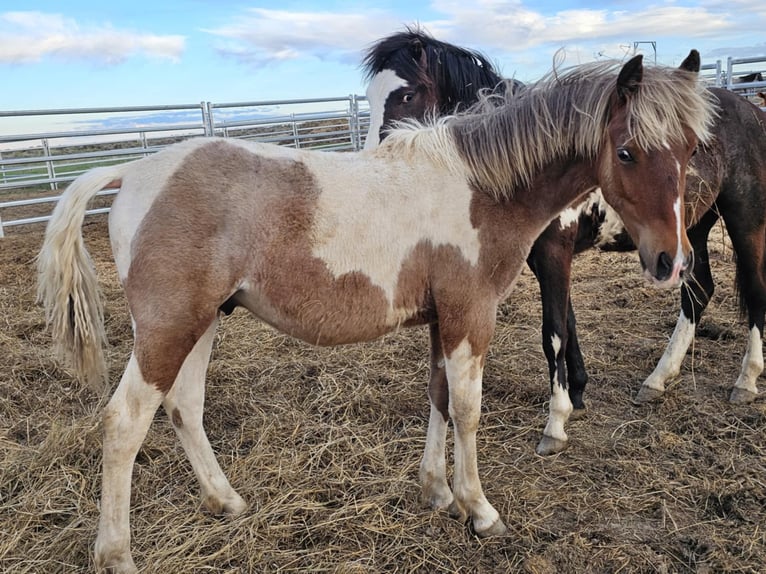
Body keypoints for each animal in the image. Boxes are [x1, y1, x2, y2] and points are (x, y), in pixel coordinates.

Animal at [39, 51, 716, 572]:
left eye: (689, 148)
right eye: (626, 152)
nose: (670, 261)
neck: (481, 189)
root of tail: (132, 170)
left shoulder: (443, 320)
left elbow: (439, 397)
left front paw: (437, 492)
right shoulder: (470, 316)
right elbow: (468, 410)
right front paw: (480, 510)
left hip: (202, 323)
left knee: (184, 407)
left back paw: (225, 501)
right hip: (168, 329)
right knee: (126, 422)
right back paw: (117, 554)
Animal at [364, 29, 764, 456]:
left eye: (406, 94)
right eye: (369, 96)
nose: (374, 163)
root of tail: (752, 110)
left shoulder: (556, 253)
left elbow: (553, 332)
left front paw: (555, 424)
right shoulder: (546, 258)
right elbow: (567, 325)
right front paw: (577, 395)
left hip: (743, 220)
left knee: (755, 291)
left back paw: (746, 381)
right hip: (693, 231)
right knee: (699, 291)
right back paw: (658, 379)